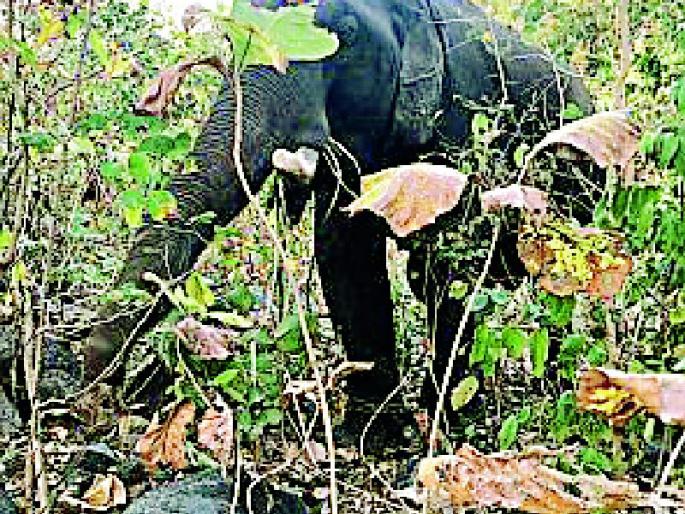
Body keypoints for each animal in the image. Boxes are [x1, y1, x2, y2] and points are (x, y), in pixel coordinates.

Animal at [85, 0, 602, 441]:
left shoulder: (465, 124)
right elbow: (345, 251)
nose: (104, 385)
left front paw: (442, 421)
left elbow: (449, 266)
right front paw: (375, 433)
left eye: (346, 37)